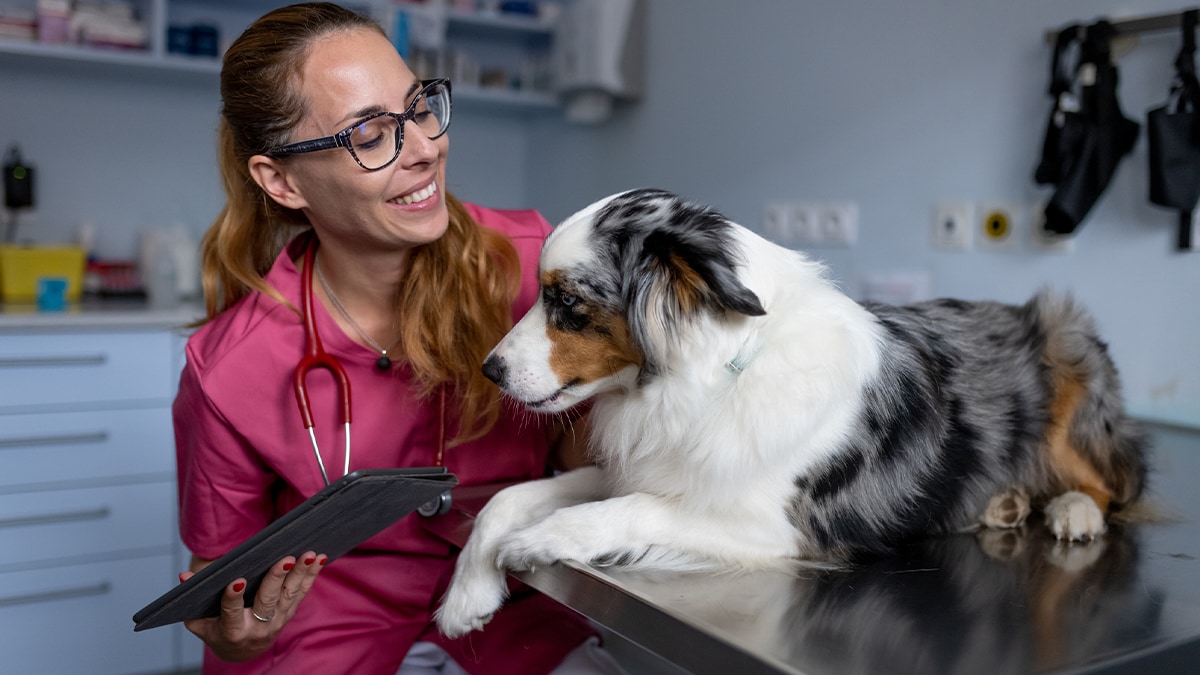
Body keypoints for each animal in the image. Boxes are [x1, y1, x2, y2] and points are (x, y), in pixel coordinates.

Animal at [436, 186, 1147, 634]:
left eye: (569, 303)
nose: (489, 370)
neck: (713, 376)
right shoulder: (645, 467)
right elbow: (511, 496)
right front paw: (468, 593)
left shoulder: (784, 527)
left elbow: (628, 510)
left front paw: (538, 541)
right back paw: (1010, 504)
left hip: (1068, 349)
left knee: (1119, 484)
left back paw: (1071, 510)